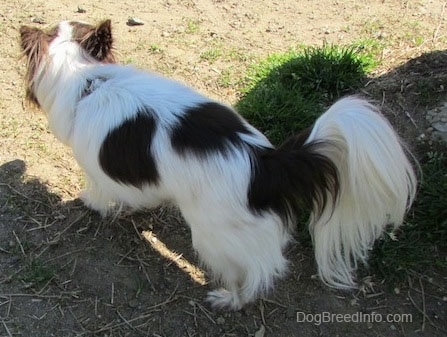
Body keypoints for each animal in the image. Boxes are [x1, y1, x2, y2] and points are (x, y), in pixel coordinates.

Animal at [19, 19, 418, 310]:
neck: (89, 81)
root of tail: (265, 165)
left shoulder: (97, 169)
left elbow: (100, 192)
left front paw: (91, 204)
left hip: (213, 236)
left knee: (256, 270)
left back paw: (229, 298)